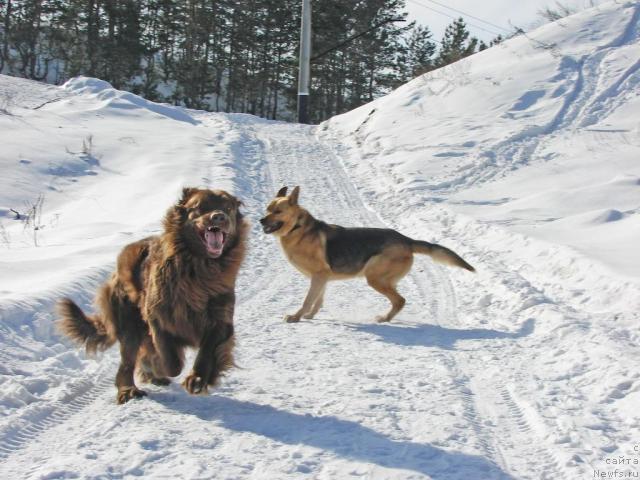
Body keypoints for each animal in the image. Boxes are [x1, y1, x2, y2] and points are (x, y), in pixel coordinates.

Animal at [58, 186, 248, 404]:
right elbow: (171, 362)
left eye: (228, 207)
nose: (219, 217)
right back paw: (128, 389)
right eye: (200, 207)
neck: (199, 268)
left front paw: (198, 379)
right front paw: (159, 367)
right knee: (128, 361)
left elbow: (208, 351)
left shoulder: (220, 317)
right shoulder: (158, 316)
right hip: (129, 322)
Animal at [260, 186, 476, 324]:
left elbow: (307, 300)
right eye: (267, 209)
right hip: (382, 279)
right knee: (398, 301)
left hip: (374, 277)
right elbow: (318, 300)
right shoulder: (321, 278)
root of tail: (405, 239)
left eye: (277, 211)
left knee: (400, 300)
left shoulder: (319, 276)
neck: (297, 228)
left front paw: (295, 317)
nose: (261, 220)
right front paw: (310, 315)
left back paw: (384, 319)